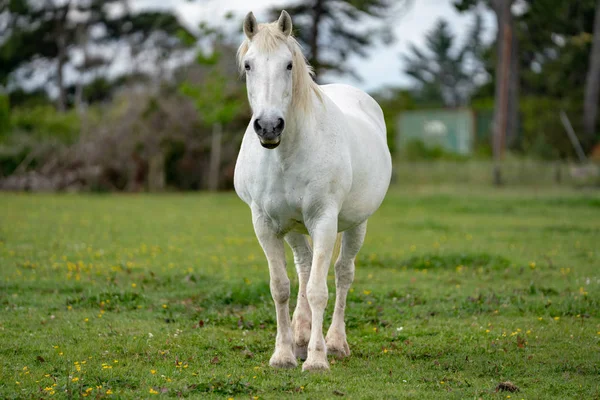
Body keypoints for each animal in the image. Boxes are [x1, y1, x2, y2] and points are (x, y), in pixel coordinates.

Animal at [232, 10, 392, 372]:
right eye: (248, 65)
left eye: (289, 65)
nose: (269, 126)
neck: (285, 153)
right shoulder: (265, 224)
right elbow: (281, 287)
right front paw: (283, 353)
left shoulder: (324, 220)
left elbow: (320, 289)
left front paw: (317, 359)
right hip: (293, 227)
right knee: (304, 267)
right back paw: (301, 336)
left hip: (355, 224)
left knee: (343, 274)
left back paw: (335, 343)